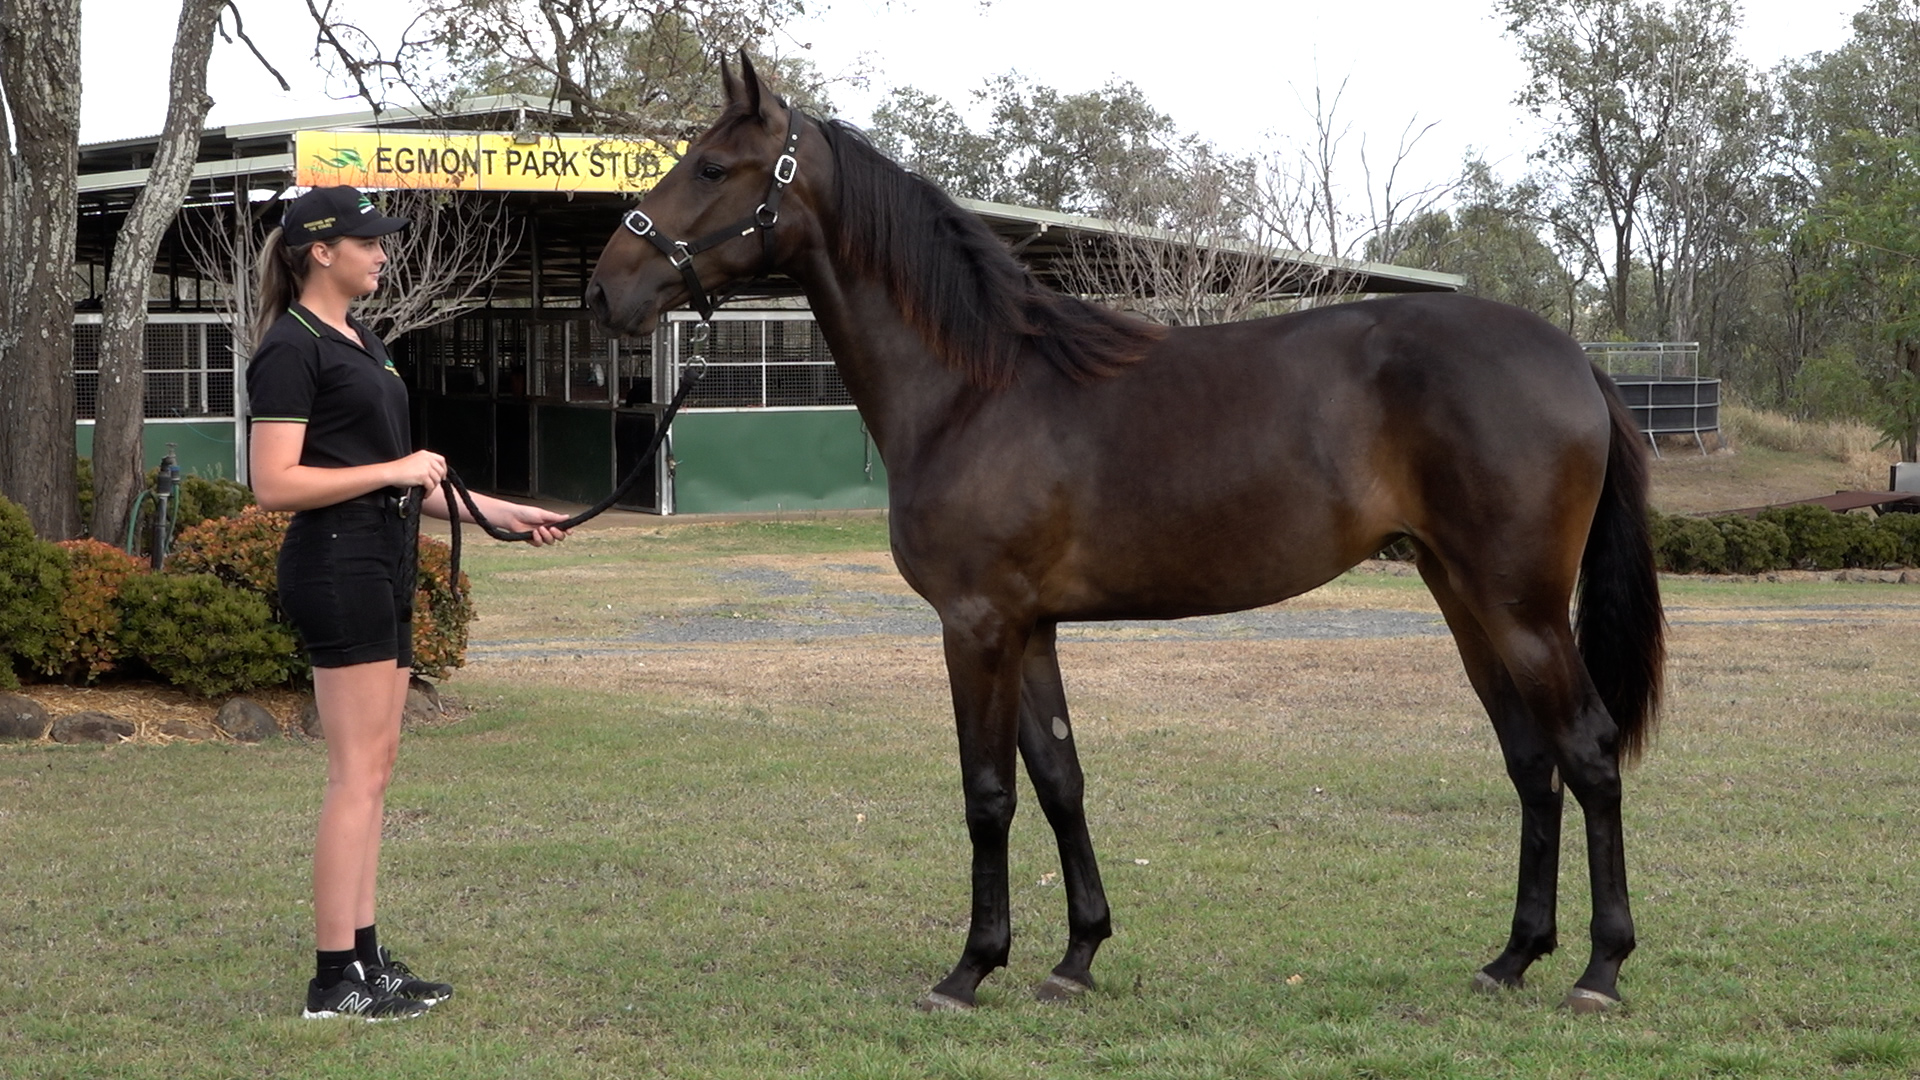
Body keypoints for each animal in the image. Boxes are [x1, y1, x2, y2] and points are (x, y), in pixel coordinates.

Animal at [585, 54, 1665, 1014]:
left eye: (711, 168)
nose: (605, 287)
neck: (979, 390)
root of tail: (1573, 356)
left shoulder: (975, 624)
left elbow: (988, 792)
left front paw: (970, 969)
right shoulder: (1030, 628)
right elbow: (1060, 780)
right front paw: (1076, 958)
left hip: (1522, 606)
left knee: (1587, 750)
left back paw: (1601, 971)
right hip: (1461, 594)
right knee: (1530, 761)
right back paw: (1512, 958)